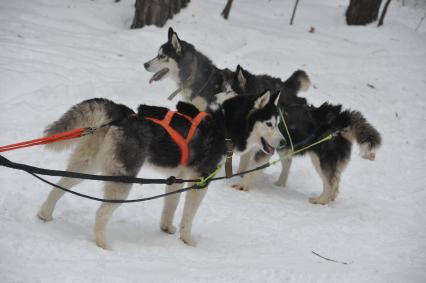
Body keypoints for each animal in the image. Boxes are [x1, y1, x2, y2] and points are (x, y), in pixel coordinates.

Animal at [35, 92, 282, 250]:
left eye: (279, 123)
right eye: (269, 124)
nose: (282, 142)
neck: (224, 126)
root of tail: (124, 113)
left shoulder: (178, 177)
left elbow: (171, 206)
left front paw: (166, 228)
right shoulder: (201, 181)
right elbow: (188, 216)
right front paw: (187, 240)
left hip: (87, 164)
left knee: (59, 186)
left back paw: (45, 213)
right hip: (122, 180)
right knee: (101, 213)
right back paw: (102, 243)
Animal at [228, 68, 382, 205]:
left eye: (228, 90)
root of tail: (340, 118)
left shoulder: (265, 150)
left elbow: (252, 169)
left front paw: (242, 184)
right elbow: (244, 165)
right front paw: (238, 175)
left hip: (320, 159)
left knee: (331, 183)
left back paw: (321, 200)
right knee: (335, 182)